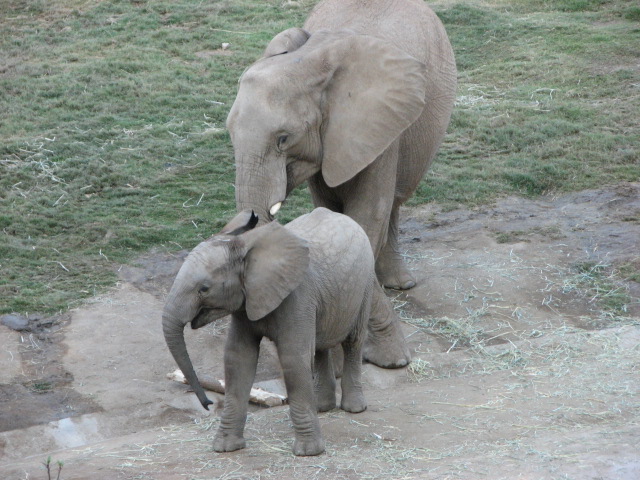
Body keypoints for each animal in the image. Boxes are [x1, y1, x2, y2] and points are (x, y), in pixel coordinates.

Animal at [162, 208, 374, 456]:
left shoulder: (297, 296)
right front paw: (225, 447)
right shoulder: (246, 301)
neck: (245, 246)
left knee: (353, 342)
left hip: (366, 281)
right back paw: (323, 407)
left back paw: (354, 409)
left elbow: (293, 359)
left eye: (203, 289)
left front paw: (308, 452)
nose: (208, 404)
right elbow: (238, 359)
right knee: (320, 346)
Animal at [227, 0, 457, 368]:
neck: (309, 62)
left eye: (283, 139)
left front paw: (391, 362)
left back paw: (400, 284)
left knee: (393, 201)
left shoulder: (375, 124)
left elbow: (365, 217)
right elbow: (334, 215)